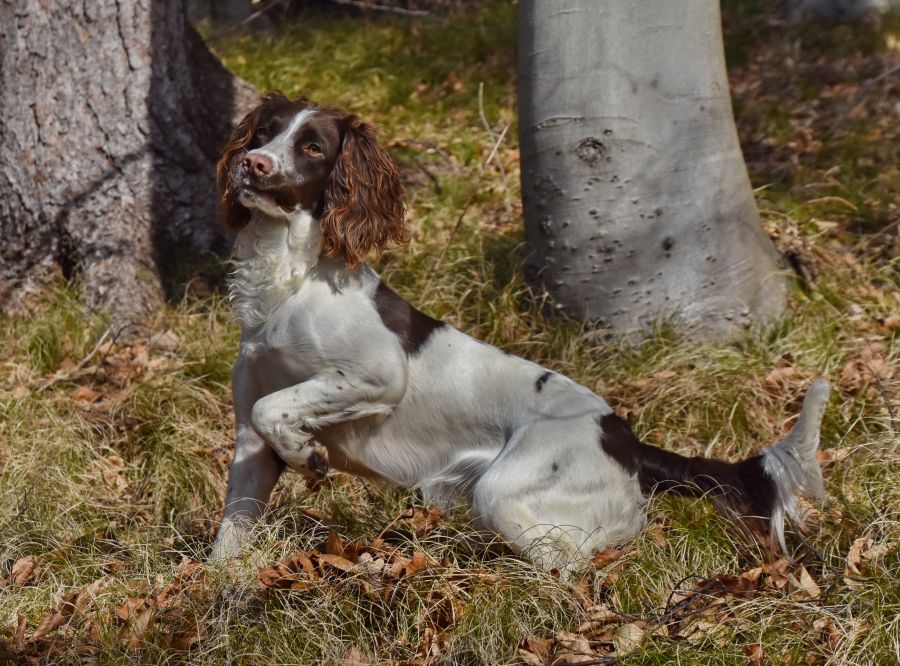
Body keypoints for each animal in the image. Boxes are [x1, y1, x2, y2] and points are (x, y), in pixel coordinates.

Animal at [211, 92, 828, 572]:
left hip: (504, 490)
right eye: (263, 132)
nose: (253, 164)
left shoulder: (377, 375)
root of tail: (626, 440)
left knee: (571, 566)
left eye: (313, 147)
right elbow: (234, 522)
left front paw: (308, 454)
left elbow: (277, 407)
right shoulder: (250, 443)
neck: (288, 283)